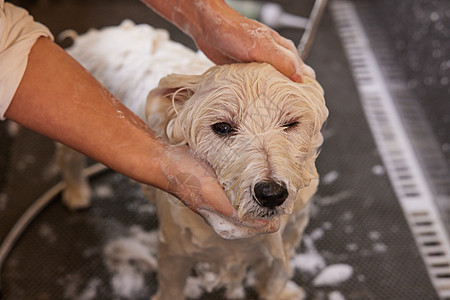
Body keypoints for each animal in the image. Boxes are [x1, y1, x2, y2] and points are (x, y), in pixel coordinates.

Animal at [58, 19, 328, 298]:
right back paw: (76, 192)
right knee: (69, 157)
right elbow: (171, 288)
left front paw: (277, 292)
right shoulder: (174, 252)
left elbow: (275, 276)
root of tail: (99, 35)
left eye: (290, 123)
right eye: (222, 127)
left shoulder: (290, 235)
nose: (271, 193)